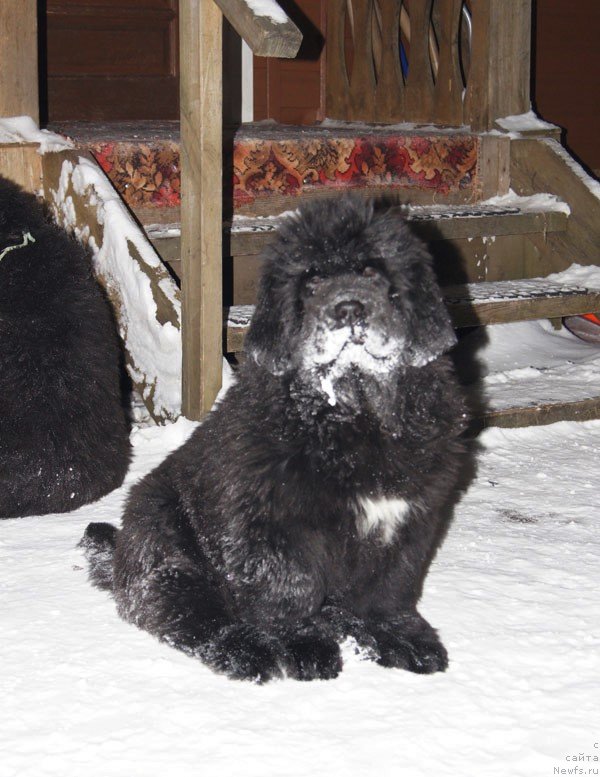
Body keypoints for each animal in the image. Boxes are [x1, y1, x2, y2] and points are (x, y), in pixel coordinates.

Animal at [83, 197, 468, 684]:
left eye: (371, 271)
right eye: (313, 280)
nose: (348, 309)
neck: (353, 414)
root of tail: (120, 554)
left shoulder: (408, 518)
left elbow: (389, 586)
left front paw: (400, 638)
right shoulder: (274, 525)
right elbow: (289, 589)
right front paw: (303, 646)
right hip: (172, 548)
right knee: (186, 615)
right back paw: (249, 652)